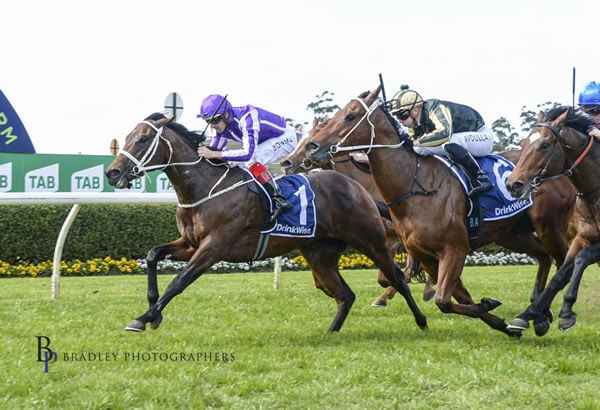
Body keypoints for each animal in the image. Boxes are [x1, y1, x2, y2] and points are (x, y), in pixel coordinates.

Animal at [105, 112, 428, 334]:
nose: (112, 172)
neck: (203, 189)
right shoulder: (189, 243)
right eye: (128, 136)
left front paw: (142, 318)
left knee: (397, 278)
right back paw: (331, 333)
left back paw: (422, 320)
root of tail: (358, 189)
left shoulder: (214, 247)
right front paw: (153, 313)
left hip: (370, 241)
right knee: (345, 295)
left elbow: (178, 282)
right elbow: (152, 255)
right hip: (319, 254)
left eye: (143, 139)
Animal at [284, 86, 576, 336]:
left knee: (565, 264)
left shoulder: (454, 249)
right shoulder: (425, 254)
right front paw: (501, 322)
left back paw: (555, 314)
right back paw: (539, 315)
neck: (414, 185)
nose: (306, 151)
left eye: (350, 116)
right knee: (544, 258)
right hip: (513, 234)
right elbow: (456, 296)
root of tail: (560, 169)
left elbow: (442, 298)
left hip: (550, 228)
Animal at [504, 107, 596, 334]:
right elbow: (563, 272)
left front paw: (563, 312)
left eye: (545, 145)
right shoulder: (583, 237)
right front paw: (528, 315)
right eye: (524, 143)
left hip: (548, 230)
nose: (513, 185)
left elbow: (579, 261)